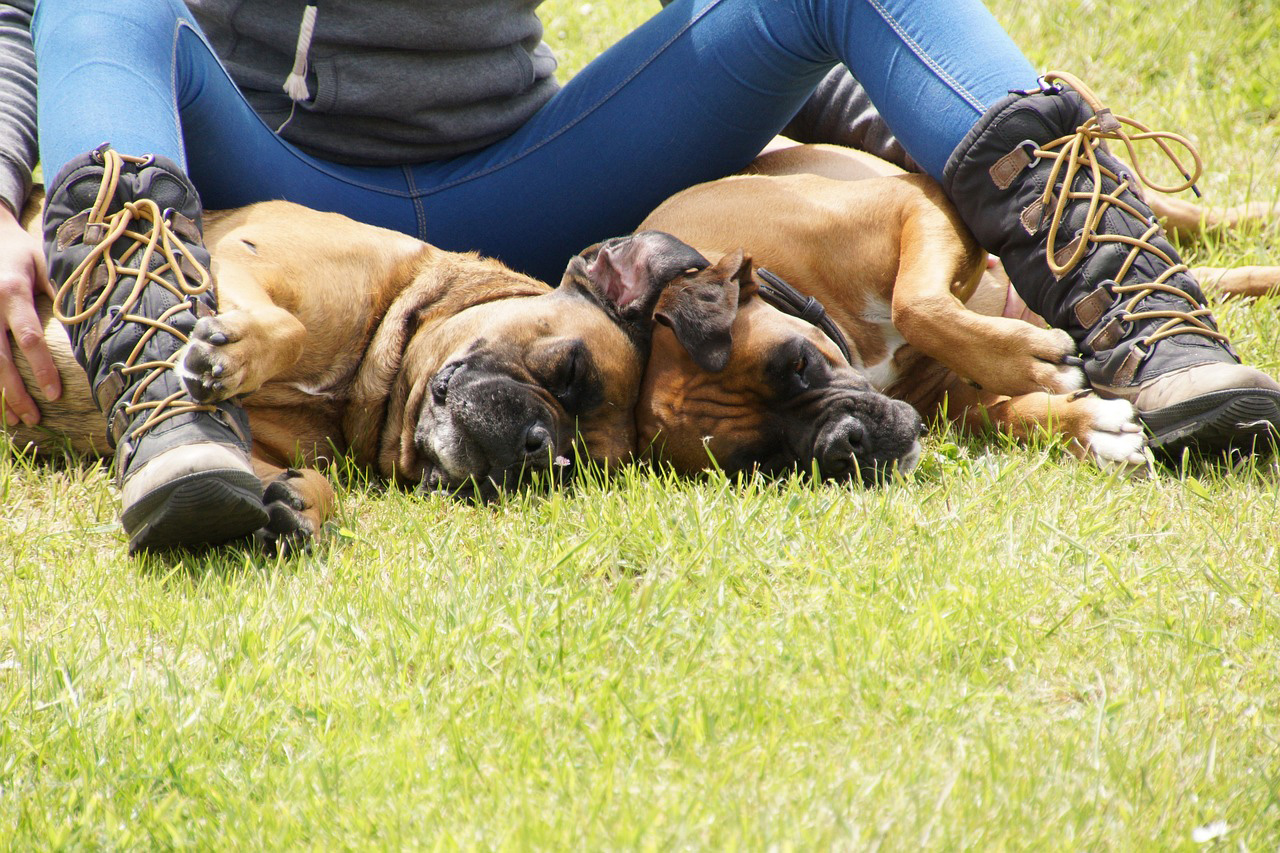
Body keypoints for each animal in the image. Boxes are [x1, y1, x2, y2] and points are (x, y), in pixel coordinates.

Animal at [10, 143, 1280, 548]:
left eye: (800, 367)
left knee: (1182, 227)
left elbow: (923, 301)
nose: (536, 447)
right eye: (761, 460)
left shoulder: (920, 213)